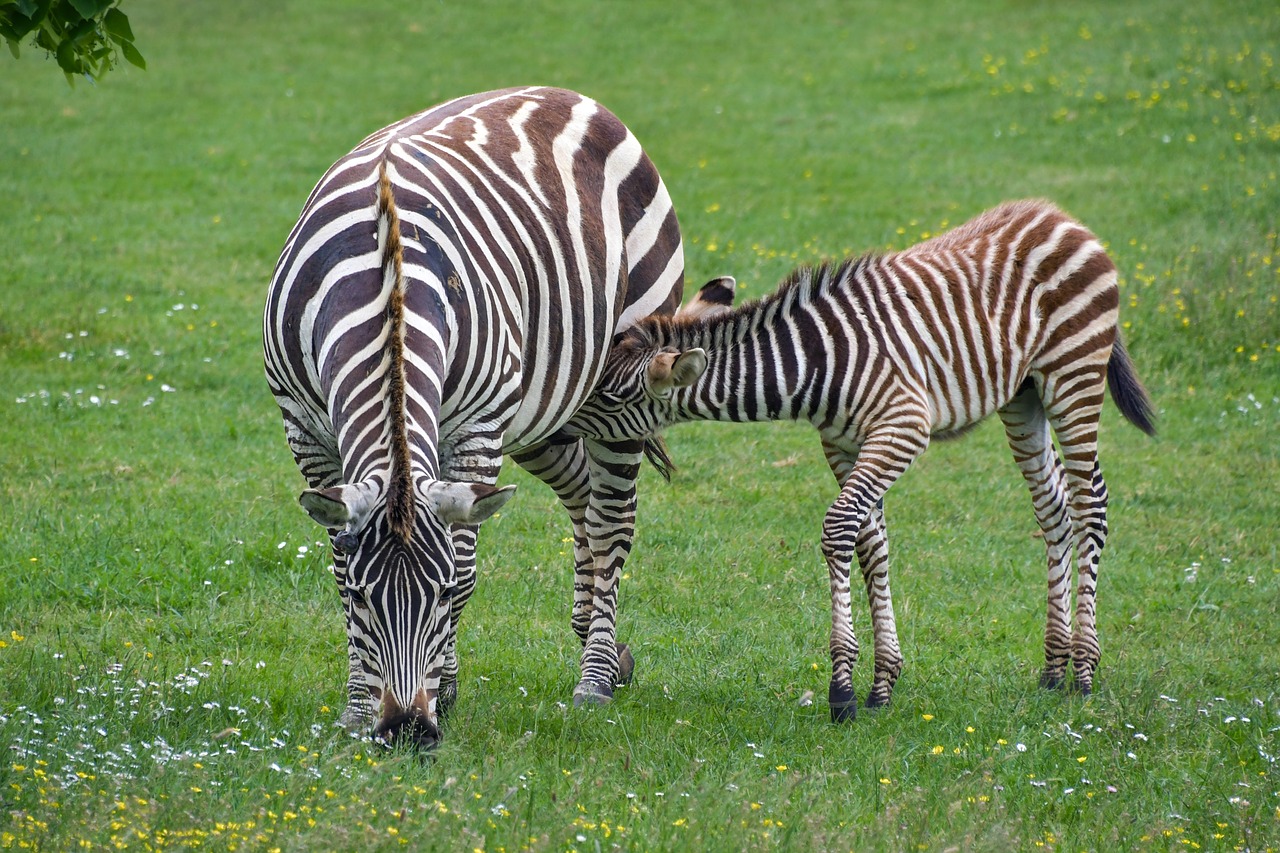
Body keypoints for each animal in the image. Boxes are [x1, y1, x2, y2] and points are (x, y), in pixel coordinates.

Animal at [262, 83, 691, 742]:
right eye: (361, 598)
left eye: (439, 597)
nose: (406, 731)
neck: (385, 285)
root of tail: (567, 92)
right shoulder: (304, 427)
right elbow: (336, 560)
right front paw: (359, 708)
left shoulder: (477, 425)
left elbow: (465, 565)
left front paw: (442, 690)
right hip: (543, 409)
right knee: (582, 495)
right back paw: (607, 649)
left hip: (624, 385)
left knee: (612, 521)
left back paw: (595, 676)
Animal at [565, 199, 1157, 717]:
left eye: (610, 397)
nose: (559, 421)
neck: (815, 362)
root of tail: (1061, 217)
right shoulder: (843, 443)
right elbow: (872, 544)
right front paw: (882, 684)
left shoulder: (902, 427)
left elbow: (838, 529)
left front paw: (843, 690)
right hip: (1023, 395)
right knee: (1054, 510)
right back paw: (1054, 668)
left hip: (1073, 374)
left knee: (1090, 504)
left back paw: (1084, 672)